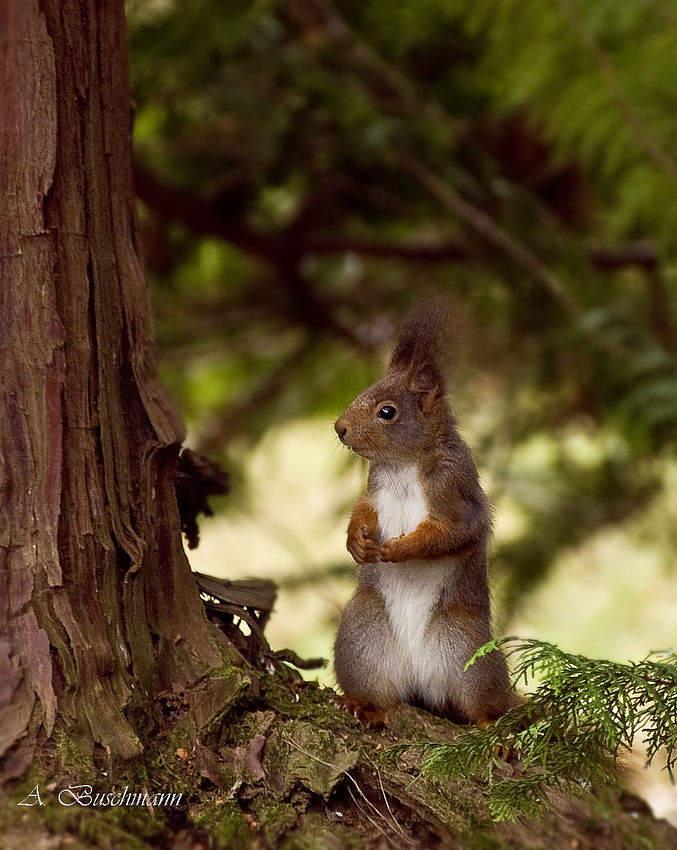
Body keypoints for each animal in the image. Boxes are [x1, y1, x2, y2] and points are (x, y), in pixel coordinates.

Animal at [332, 302, 512, 724]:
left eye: (387, 412)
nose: (339, 428)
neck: (403, 464)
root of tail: (419, 679)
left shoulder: (454, 491)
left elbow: (450, 532)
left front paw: (401, 549)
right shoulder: (376, 490)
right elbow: (363, 509)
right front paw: (355, 541)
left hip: (467, 650)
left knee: (484, 703)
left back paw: (493, 725)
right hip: (362, 634)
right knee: (379, 694)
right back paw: (363, 706)